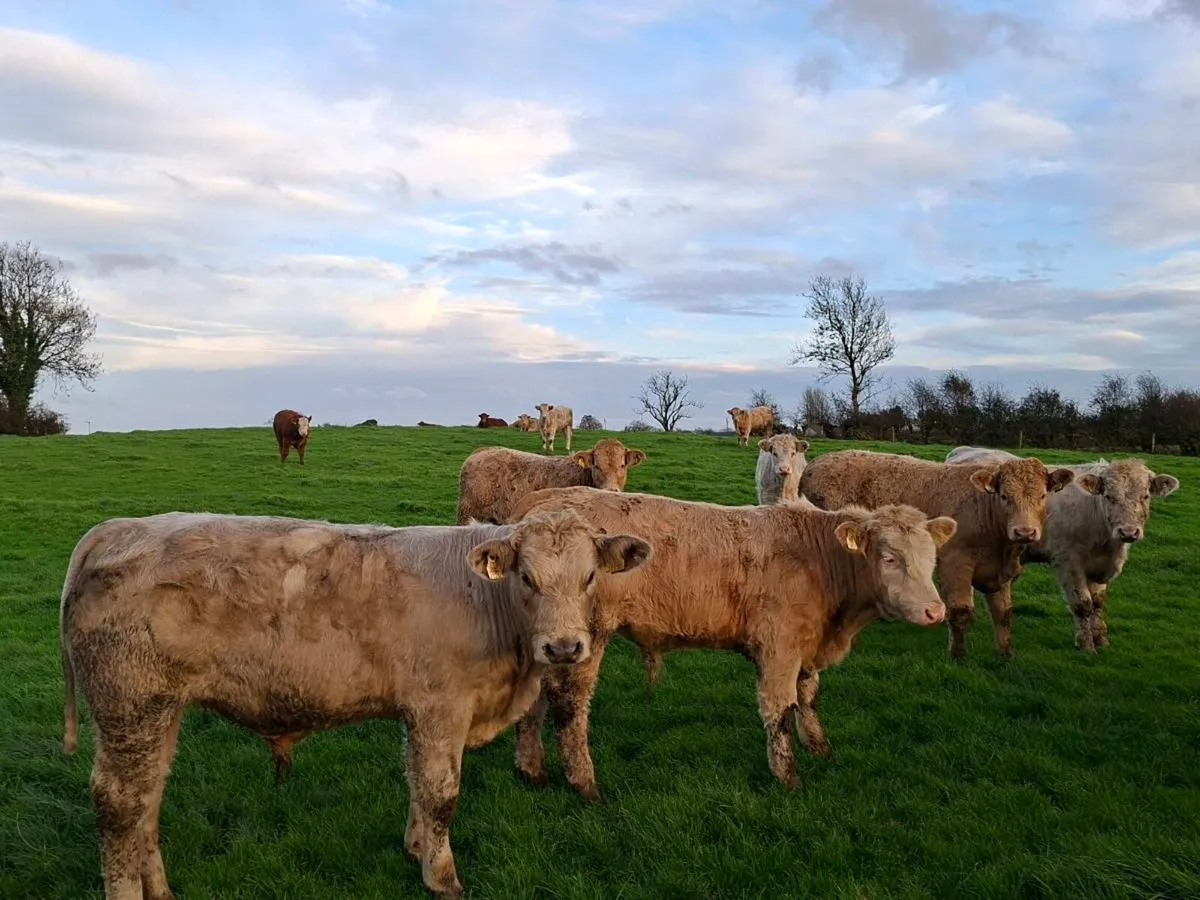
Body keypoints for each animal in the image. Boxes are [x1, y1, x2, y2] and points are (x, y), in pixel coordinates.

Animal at [58, 508, 651, 900]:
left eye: (590, 576)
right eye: (526, 577)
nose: (565, 648)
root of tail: (113, 529)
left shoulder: (418, 711)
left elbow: (416, 781)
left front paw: (416, 848)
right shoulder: (440, 708)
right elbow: (440, 794)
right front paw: (443, 878)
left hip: (158, 713)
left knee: (147, 799)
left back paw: (158, 889)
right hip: (131, 707)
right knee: (120, 806)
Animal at [505, 487, 956, 798]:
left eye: (932, 557)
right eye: (889, 558)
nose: (936, 611)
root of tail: (543, 501)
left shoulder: (806, 647)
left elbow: (808, 699)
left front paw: (821, 749)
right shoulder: (779, 647)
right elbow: (780, 711)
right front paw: (788, 777)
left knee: (535, 702)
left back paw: (531, 771)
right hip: (580, 641)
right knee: (570, 707)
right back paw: (584, 784)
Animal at [800, 449, 1076, 662]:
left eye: (1042, 496)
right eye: (1005, 496)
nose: (1025, 531)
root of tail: (816, 463)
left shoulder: (1000, 573)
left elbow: (1003, 613)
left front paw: (1006, 653)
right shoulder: (955, 564)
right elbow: (960, 612)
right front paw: (958, 656)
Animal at [945, 446, 1180, 651]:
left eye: (1145, 496)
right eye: (1109, 497)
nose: (1129, 532)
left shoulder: (1099, 565)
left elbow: (1097, 603)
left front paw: (1101, 639)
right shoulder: (1068, 561)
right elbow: (1082, 604)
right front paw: (1086, 645)